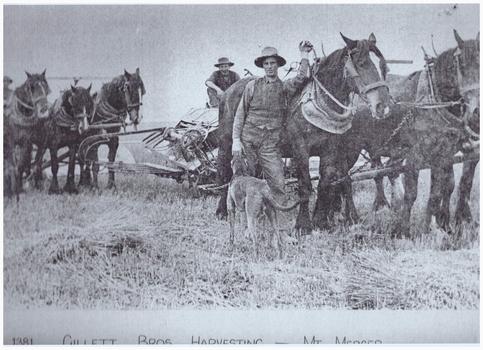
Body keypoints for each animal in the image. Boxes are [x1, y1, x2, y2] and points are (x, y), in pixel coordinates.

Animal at [217, 34, 396, 234]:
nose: (384, 106)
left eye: (384, 67)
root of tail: (228, 91)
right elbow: (305, 185)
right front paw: (303, 225)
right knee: (225, 173)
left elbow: (327, 182)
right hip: (227, 144)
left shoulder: (331, 149)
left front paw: (321, 220)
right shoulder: (300, 149)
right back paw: (222, 211)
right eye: (362, 63)